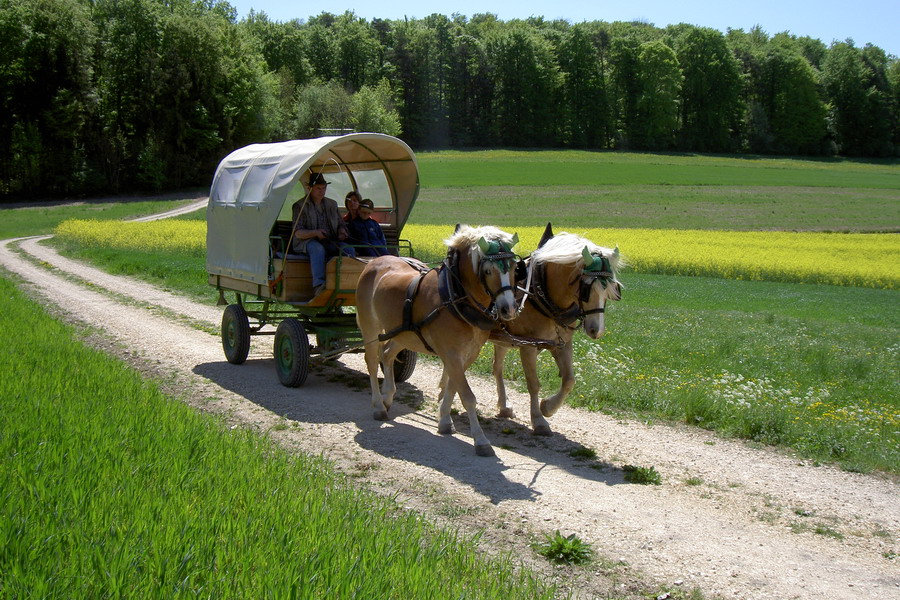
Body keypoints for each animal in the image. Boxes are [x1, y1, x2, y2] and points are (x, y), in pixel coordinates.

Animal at [354, 225, 516, 454]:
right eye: (488, 271)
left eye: (513, 267)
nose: (509, 309)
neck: (454, 296)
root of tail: (374, 261)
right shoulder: (451, 353)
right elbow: (467, 396)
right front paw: (480, 439)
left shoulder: (468, 354)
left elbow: (452, 388)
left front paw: (445, 421)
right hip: (370, 327)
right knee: (371, 361)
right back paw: (378, 405)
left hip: (403, 333)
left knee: (386, 355)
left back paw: (387, 396)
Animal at [488, 225, 624, 436]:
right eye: (587, 288)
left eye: (612, 289)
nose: (597, 330)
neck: (541, 293)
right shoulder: (528, 346)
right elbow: (533, 384)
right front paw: (539, 420)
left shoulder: (562, 343)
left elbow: (569, 380)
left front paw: (548, 407)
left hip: (503, 338)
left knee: (497, 367)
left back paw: (504, 406)